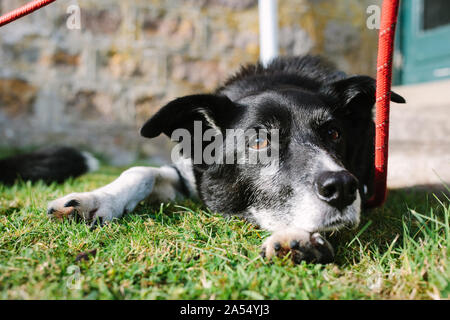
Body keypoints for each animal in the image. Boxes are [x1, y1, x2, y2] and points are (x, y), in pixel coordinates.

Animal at [6, 56, 404, 264]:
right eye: (260, 140)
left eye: (334, 134)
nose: (342, 188)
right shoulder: (188, 174)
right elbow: (139, 171)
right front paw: (95, 200)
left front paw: (298, 236)